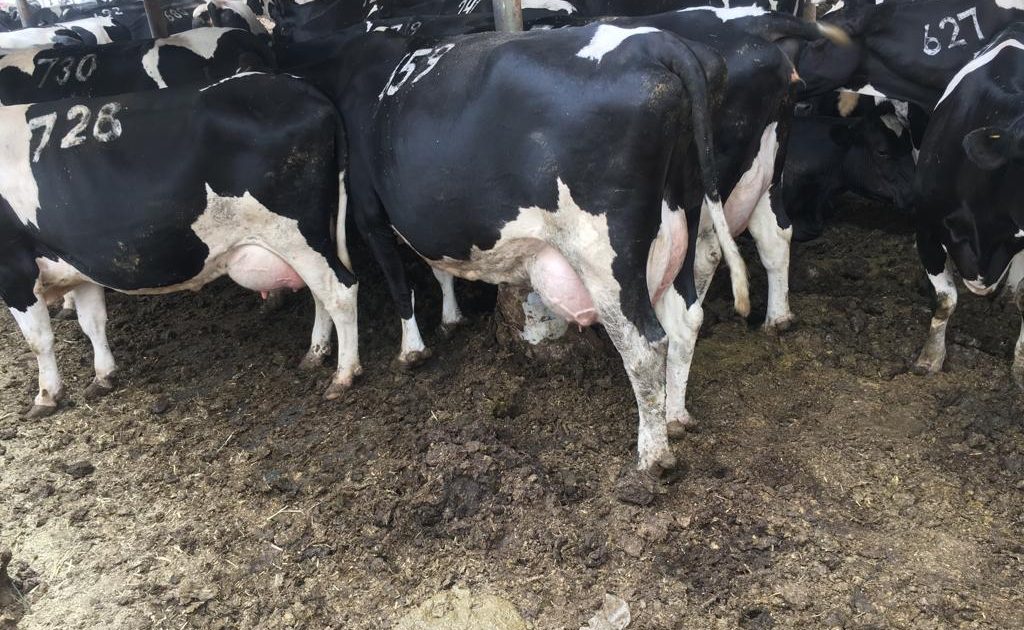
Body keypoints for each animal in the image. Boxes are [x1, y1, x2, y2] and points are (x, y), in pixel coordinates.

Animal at [0, 72, 359, 418]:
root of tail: (304, 89)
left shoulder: (14, 269)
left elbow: (39, 340)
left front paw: (46, 396)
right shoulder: (78, 263)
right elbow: (92, 323)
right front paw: (103, 377)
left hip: (295, 233)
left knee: (340, 292)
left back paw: (343, 375)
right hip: (311, 237)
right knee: (320, 293)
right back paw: (315, 354)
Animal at [286, 24, 749, 473]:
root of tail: (657, 42)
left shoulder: (369, 211)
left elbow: (399, 284)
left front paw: (410, 352)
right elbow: (436, 268)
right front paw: (449, 319)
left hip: (605, 253)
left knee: (645, 346)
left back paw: (654, 456)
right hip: (686, 215)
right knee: (686, 318)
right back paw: (676, 417)